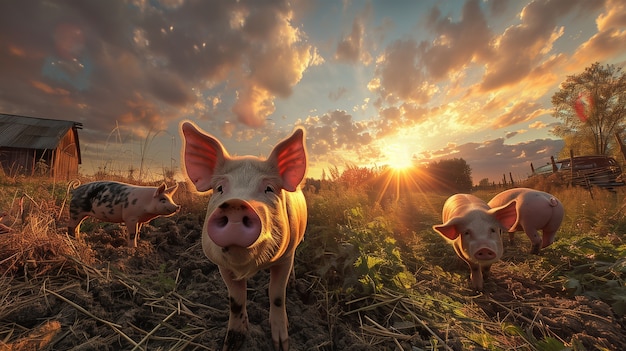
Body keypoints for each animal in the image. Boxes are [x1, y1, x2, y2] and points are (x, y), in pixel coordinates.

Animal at [179, 121, 306, 351]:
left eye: (269, 188)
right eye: (220, 188)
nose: (236, 204)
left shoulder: (284, 258)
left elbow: (277, 295)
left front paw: (281, 344)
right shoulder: (222, 266)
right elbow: (236, 301)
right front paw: (231, 344)